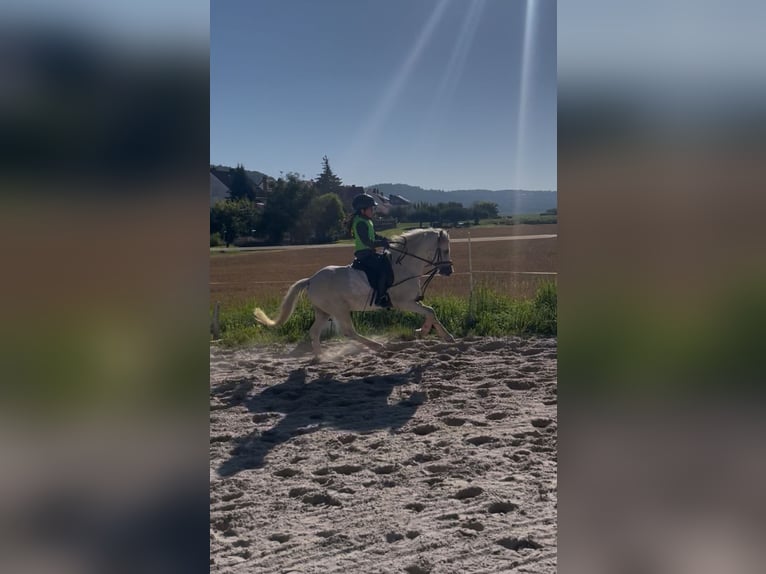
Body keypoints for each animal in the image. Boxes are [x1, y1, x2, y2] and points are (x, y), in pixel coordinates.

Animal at [253, 228, 455, 358]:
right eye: (445, 250)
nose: (449, 271)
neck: (404, 265)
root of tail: (311, 280)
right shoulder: (404, 303)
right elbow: (430, 311)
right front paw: (434, 334)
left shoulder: (413, 301)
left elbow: (430, 312)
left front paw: (427, 332)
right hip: (339, 310)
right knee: (348, 331)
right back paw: (377, 346)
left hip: (323, 312)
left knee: (314, 332)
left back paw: (321, 358)